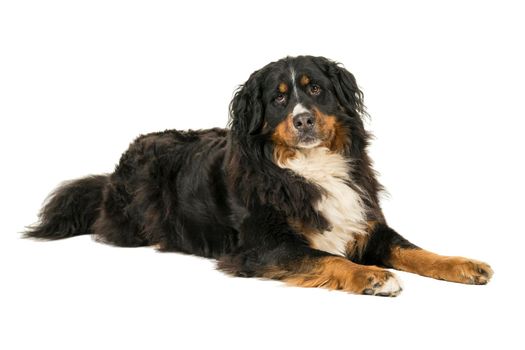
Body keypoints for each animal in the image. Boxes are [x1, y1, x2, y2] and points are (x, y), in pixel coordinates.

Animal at [24, 56, 492, 296]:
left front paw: (464, 264)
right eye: (279, 99)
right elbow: (328, 258)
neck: (308, 167)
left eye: (316, 89)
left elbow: (416, 251)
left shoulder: (367, 225)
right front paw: (372, 276)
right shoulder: (263, 247)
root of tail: (111, 173)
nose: (303, 120)